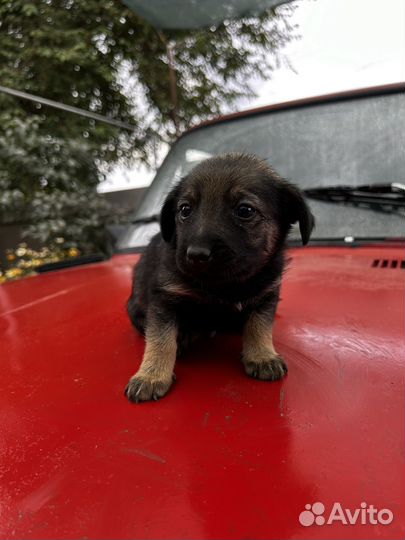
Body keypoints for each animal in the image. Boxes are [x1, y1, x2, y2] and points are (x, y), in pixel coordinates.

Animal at [124, 152, 314, 400]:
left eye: (245, 210)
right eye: (185, 209)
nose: (195, 254)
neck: (224, 285)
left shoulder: (266, 296)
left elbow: (259, 327)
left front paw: (262, 355)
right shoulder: (164, 300)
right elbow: (160, 340)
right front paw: (151, 375)